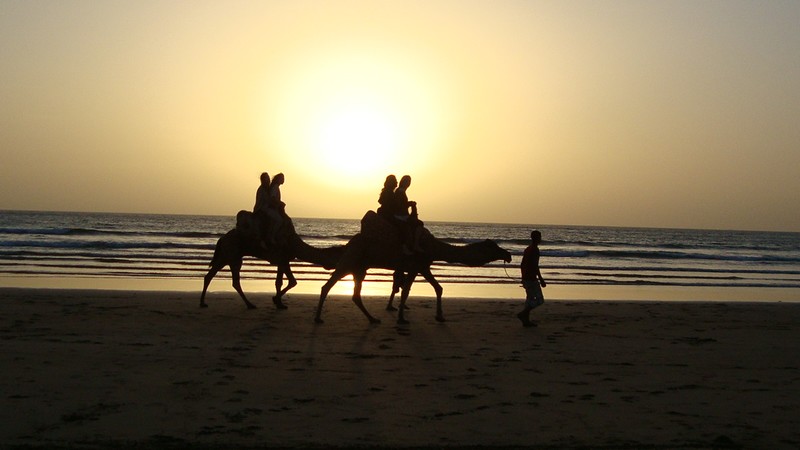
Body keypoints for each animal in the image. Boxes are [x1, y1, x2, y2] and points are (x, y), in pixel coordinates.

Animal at [202, 211, 342, 310]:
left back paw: (202, 303)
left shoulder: (282, 261)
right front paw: (276, 300)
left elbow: (280, 282)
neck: (295, 244)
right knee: (235, 281)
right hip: (234, 255)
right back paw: (250, 304)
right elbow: (292, 281)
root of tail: (222, 238)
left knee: (210, 275)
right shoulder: (283, 258)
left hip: (225, 256)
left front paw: (279, 303)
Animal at [314, 211, 512, 324]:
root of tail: (349, 243)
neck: (433, 247)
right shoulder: (415, 266)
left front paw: (440, 316)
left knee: (354, 294)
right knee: (327, 286)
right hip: (350, 261)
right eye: (494, 246)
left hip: (360, 267)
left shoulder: (423, 267)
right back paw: (318, 318)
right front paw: (402, 319)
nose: (508, 255)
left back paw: (373, 319)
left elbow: (438, 288)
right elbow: (406, 291)